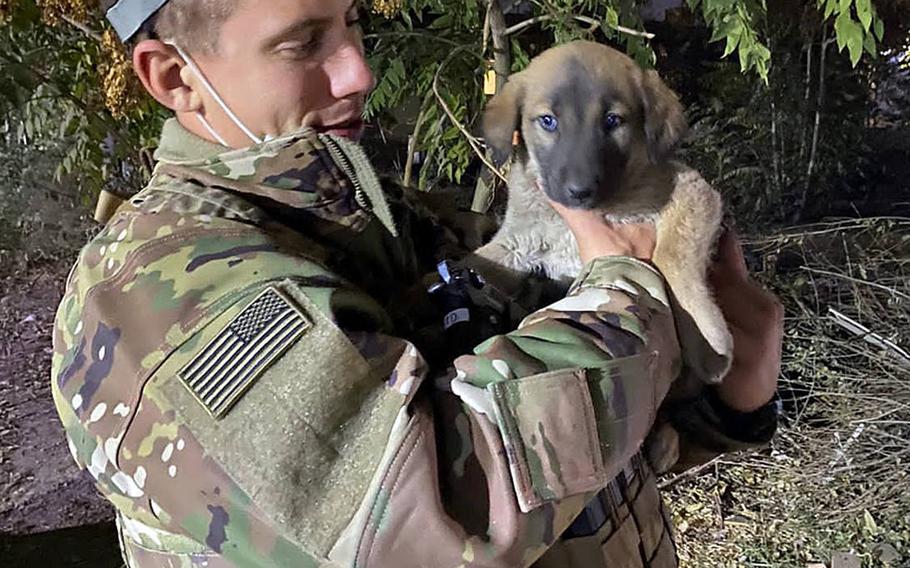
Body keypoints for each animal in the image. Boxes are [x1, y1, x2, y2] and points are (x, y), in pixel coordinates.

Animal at [470, 38, 732, 386]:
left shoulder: (693, 192)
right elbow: (477, 260)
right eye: (548, 121)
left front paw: (708, 340)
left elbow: (672, 256)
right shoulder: (518, 242)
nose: (580, 191)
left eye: (612, 121)